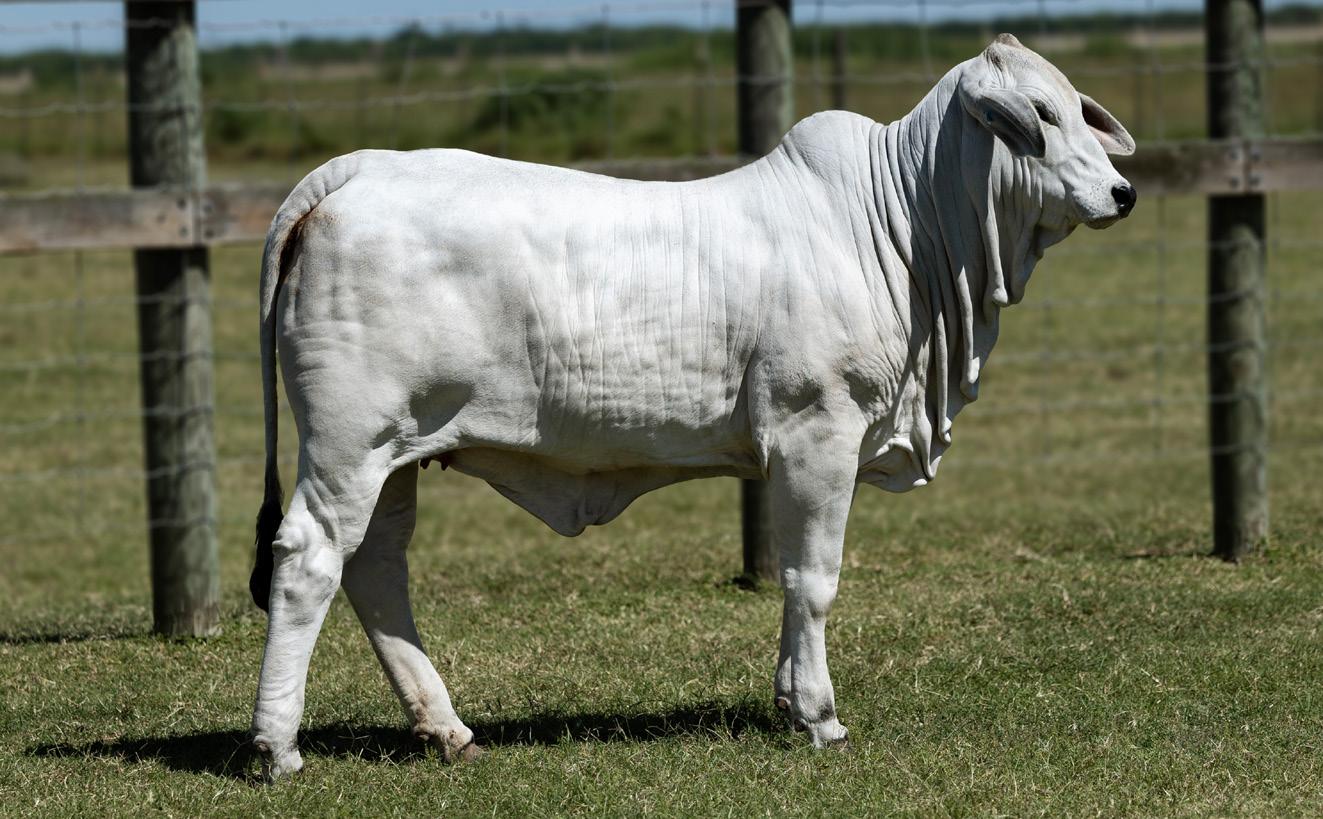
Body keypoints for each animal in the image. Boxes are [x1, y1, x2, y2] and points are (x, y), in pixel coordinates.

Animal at [247, 34, 1136, 780]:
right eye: (1040, 114)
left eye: (1077, 105)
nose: (1123, 192)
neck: (901, 228)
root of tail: (352, 172)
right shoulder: (818, 433)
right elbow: (811, 577)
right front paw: (819, 715)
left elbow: (793, 581)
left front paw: (786, 700)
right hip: (348, 443)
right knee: (310, 559)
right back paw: (277, 746)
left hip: (396, 453)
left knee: (375, 568)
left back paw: (446, 727)